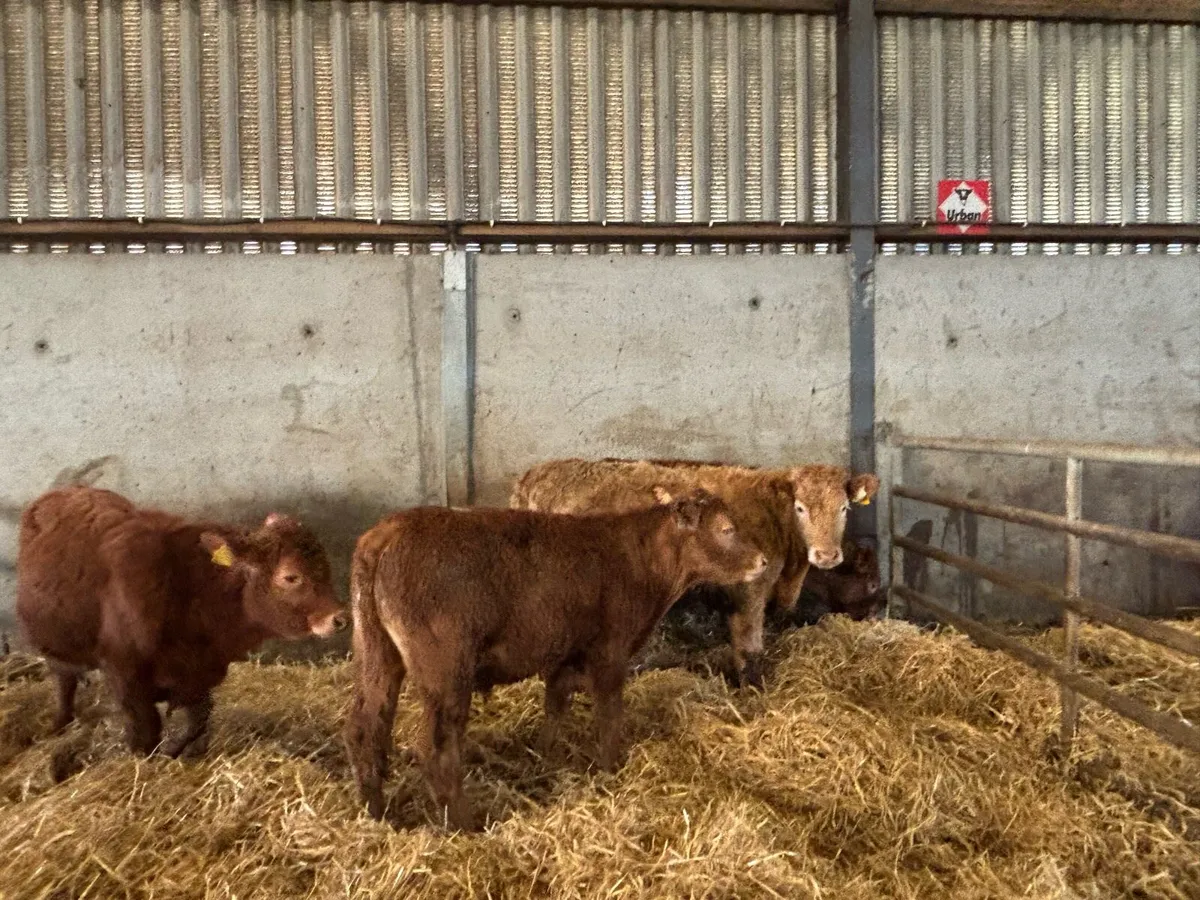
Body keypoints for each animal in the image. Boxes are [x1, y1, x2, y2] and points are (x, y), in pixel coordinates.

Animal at [16, 485, 345, 758]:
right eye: (291, 577)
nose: (339, 618)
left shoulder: (200, 676)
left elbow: (198, 724)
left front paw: (180, 752)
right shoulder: (124, 675)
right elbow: (146, 735)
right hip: (54, 645)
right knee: (64, 680)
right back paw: (61, 722)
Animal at [343, 489, 767, 829]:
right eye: (727, 529)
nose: (762, 561)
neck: (638, 559)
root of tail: (388, 531)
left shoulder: (565, 652)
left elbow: (555, 704)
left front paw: (547, 758)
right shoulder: (610, 651)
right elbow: (609, 715)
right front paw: (611, 769)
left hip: (377, 654)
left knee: (366, 727)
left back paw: (377, 812)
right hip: (445, 669)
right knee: (435, 745)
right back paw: (464, 825)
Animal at [511, 458, 880, 689]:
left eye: (844, 508)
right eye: (800, 508)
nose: (827, 555)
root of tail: (535, 474)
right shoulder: (749, 587)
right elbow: (749, 648)